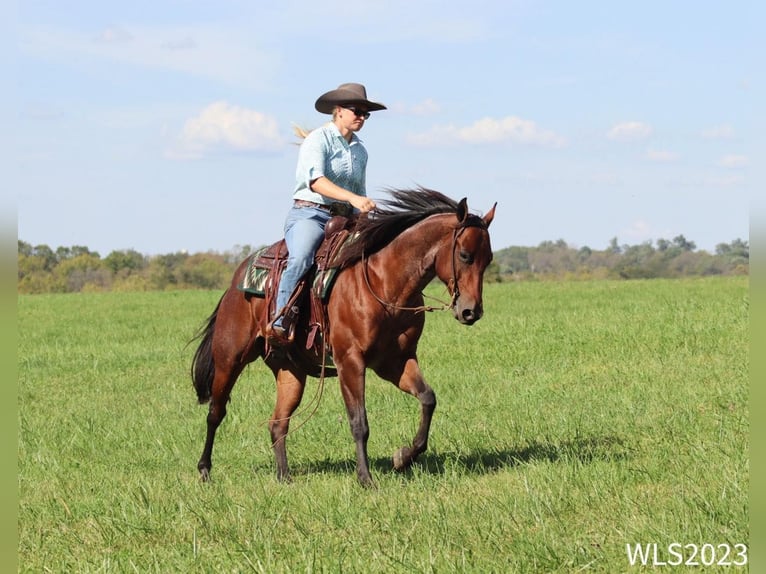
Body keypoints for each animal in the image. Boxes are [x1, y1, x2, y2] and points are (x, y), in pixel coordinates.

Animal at [189, 188, 496, 486]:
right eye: (465, 255)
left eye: (488, 259)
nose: (471, 311)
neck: (384, 282)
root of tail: (236, 280)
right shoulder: (350, 361)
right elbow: (359, 422)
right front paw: (366, 478)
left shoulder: (395, 362)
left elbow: (428, 399)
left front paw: (402, 458)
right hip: (229, 359)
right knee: (215, 413)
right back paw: (204, 471)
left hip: (289, 371)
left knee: (278, 423)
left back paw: (284, 476)